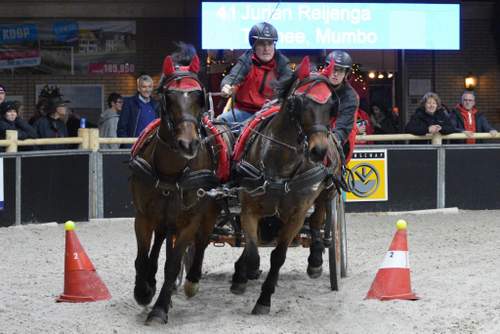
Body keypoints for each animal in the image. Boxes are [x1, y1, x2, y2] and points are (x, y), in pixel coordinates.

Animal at [129, 51, 225, 324]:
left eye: (198, 98)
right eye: (168, 97)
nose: (188, 144)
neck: (171, 173)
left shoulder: (189, 221)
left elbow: (173, 265)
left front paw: (160, 308)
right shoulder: (143, 216)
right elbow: (142, 256)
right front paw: (143, 289)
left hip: (209, 212)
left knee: (201, 242)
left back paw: (191, 281)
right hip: (162, 214)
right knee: (161, 238)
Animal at [231, 56, 342, 314]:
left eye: (332, 105)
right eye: (298, 102)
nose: (319, 151)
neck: (279, 163)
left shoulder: (296, 215)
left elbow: (278, 256)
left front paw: (264, 299)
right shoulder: (248, 208)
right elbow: (252, 249)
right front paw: (245, 273)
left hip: (326, 192)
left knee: (318, 221)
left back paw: (316, 260)